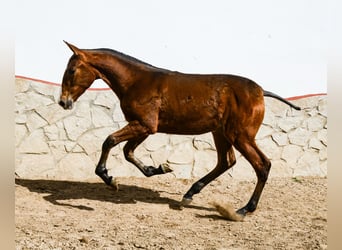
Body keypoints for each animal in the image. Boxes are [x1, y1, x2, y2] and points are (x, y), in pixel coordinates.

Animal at [60, 41, 300, 219]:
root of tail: (260, 91)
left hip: (240, 136)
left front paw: (109, 178)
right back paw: (190, 194)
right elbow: (128, 152)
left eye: (71, 70)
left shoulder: (144, 125)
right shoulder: (144, 127)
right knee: (226, 162)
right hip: (221, 133)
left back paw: (243, 209)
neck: (136, 81)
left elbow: (109, 140)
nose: (63, 102)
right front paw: (159, 168)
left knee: (262, 165)